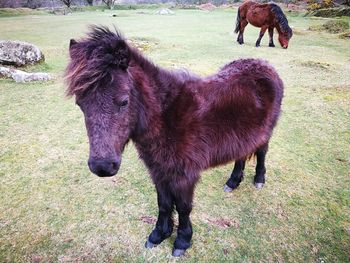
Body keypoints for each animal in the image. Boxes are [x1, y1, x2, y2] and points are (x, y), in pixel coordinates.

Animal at [65, 26, 284, 258]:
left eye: (124, 101)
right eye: (80, 103)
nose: (102, 167)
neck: (167, 117)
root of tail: (266, 66)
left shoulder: (184, 175)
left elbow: (183, 207)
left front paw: (182, 240)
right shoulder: (159, 171)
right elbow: (163, 203)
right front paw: (159, 234)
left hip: (265, 133)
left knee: (261, 153)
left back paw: (258, 179)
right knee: (241, 155)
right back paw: (232, 182)